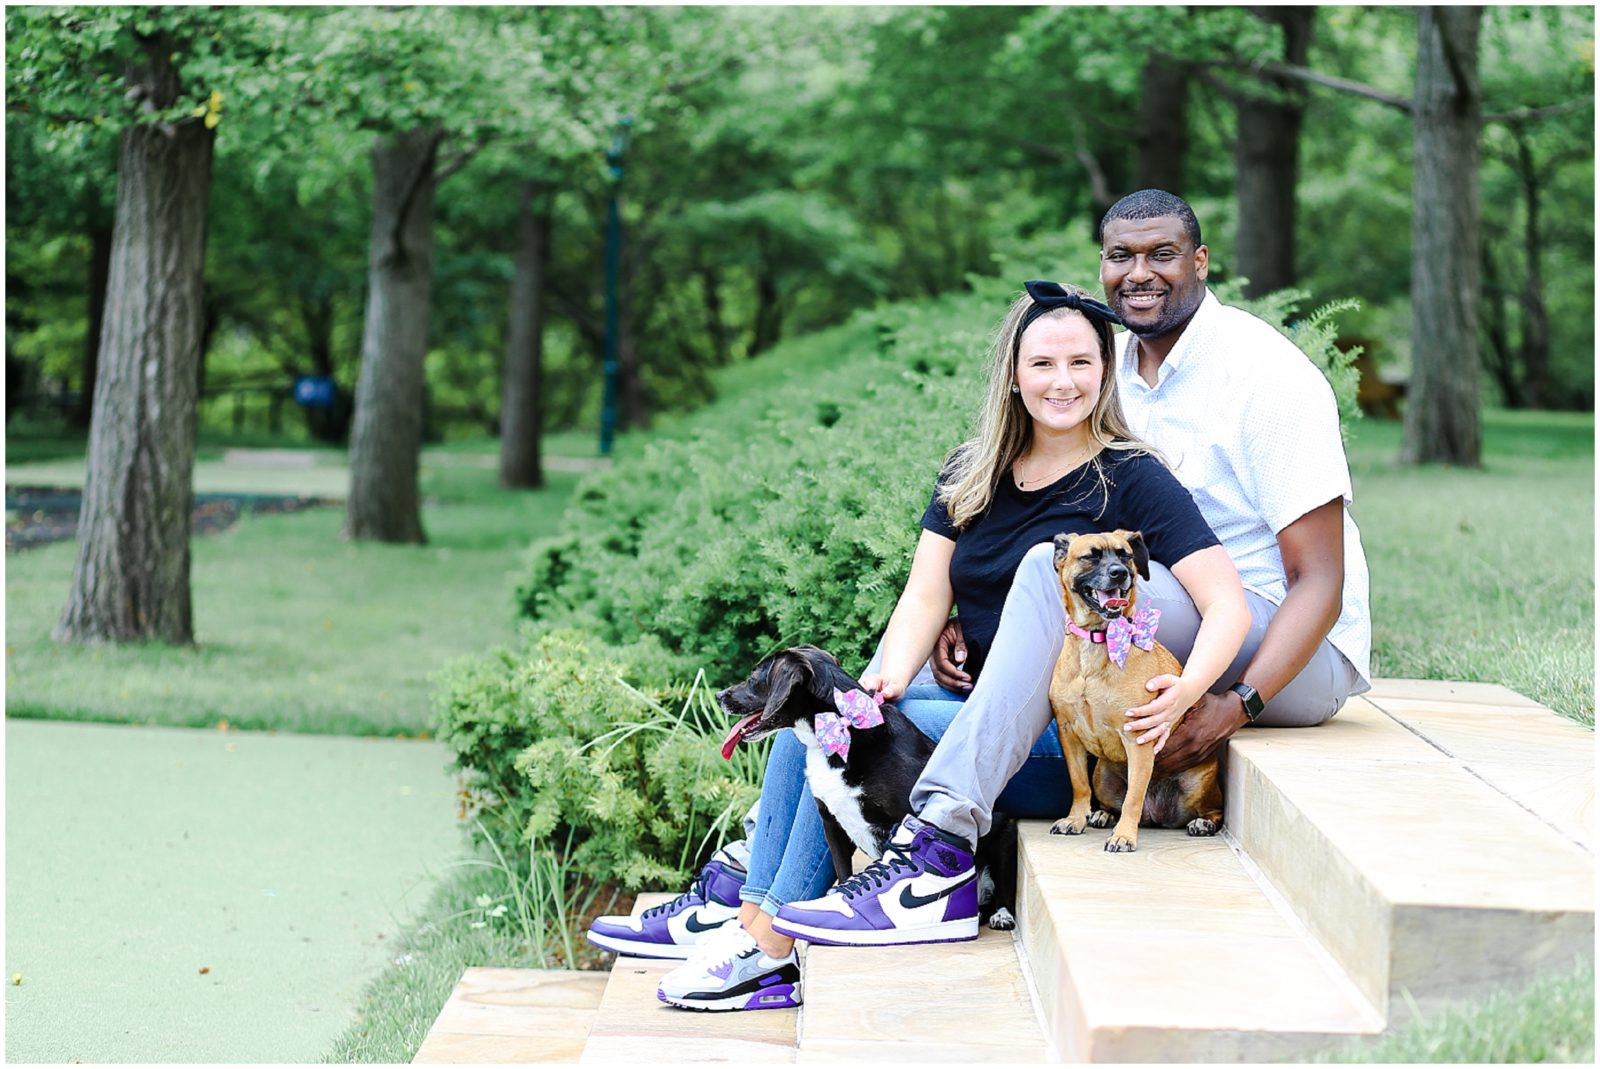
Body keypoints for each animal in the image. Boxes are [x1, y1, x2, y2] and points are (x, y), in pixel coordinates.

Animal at [716, 643, 1011, 928]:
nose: (719, 695)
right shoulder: (831, 822)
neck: (840, 729)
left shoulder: (907, 815)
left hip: (1002, 830)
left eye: (754, 677)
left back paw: (1001, 914)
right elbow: (843, 870)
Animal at [1049, 531, 1222, 851]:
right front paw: (1076, 819)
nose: (1120, 573)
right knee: (1109, 800)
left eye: (1125, 555)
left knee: (1214, 810)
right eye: (1091, 556)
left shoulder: (1137, 738)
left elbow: (1133, 798)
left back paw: (1202, 823)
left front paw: (1124, 836)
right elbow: (1079, 785)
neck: (1099, 640)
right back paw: (1102, 815)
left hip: (1199, 785)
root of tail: (1157, 816)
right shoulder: (1068, 733)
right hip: (1102, 775)